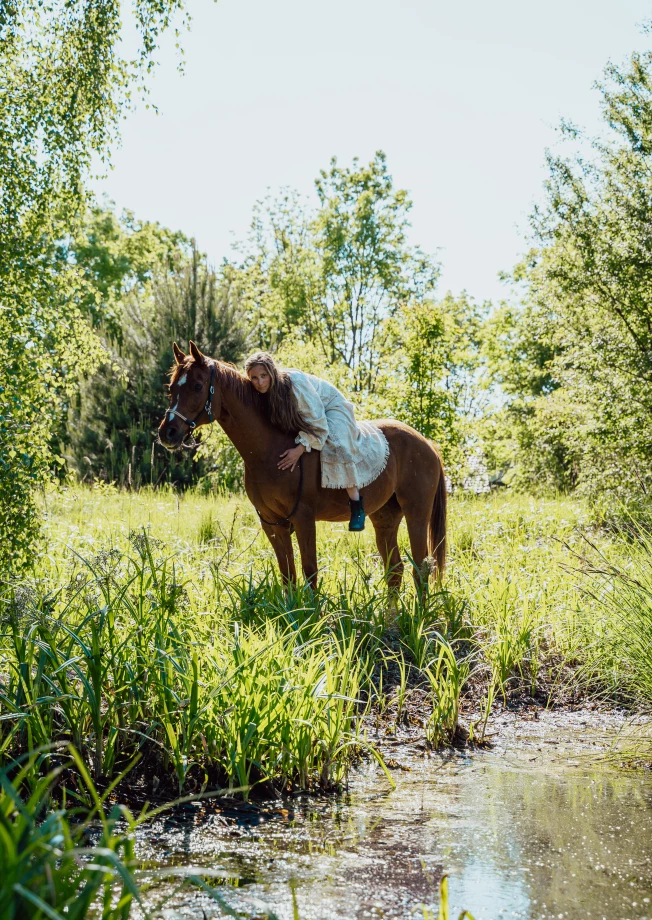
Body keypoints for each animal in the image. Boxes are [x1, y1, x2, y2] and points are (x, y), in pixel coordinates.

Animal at [159, 340, 446, 588]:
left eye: (197, 386)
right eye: (171, 388)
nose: (167, 433)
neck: (269, 449)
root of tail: (428, 445)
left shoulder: (304, 519)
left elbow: (310, 572)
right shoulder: (272, 523)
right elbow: (288, 574)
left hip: (416, 512)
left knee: (421, 568)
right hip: (385, 517)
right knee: (395, 570)